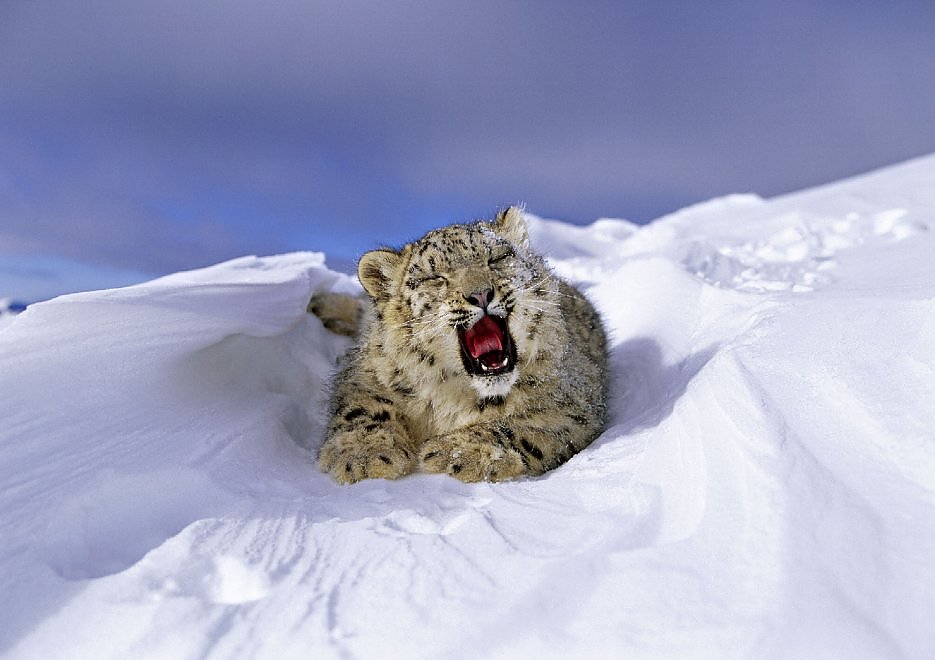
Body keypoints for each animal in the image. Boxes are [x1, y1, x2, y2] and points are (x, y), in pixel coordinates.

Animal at [310, 206, 608, 484]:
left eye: (496, 258)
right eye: (436, 277)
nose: (480, 294)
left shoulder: (572, 405)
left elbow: (522, 427)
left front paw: (458, 452)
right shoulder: (365, 375)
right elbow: (363, 408)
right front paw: (364, 455)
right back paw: (320, 304)